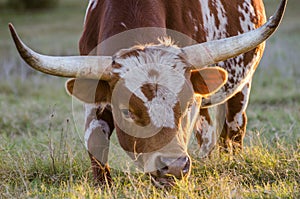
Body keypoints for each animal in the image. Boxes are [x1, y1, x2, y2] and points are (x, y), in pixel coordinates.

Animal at [8, 0, 286, 187]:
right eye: (127, 112)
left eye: (185, 106)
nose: (173, 167)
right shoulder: (95, 95)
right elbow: (95, 140)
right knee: (207, 132)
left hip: (242, 84)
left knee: (233, 128)